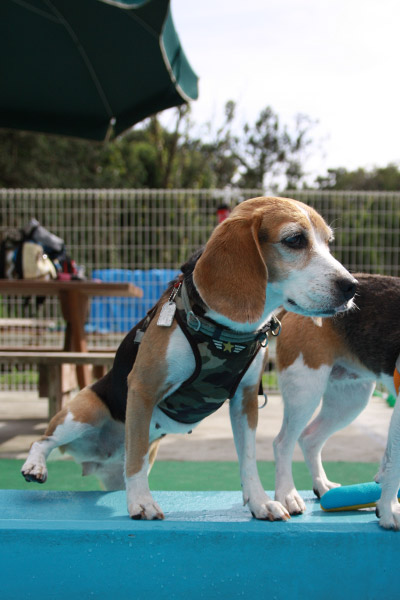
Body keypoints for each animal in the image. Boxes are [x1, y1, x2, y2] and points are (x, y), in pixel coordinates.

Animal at [21, 197, 356, 520]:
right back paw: (35, 466)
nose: (352, 286)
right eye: (295, 239)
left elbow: (248, 459)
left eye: (328, 242)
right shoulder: (142, 388)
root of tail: (98, 459)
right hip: (83, 412)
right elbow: (136, 453)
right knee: (43, 441)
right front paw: (142, 502)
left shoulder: (245, 400)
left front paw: (260, 503)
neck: (226, 330)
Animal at [274, 274, 400, 528]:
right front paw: (389, 510)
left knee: (310, 438)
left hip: (349, 400)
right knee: (282, 443)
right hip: (305, 390)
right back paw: (287, 496)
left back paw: (322, 486)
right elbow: (395, 467)